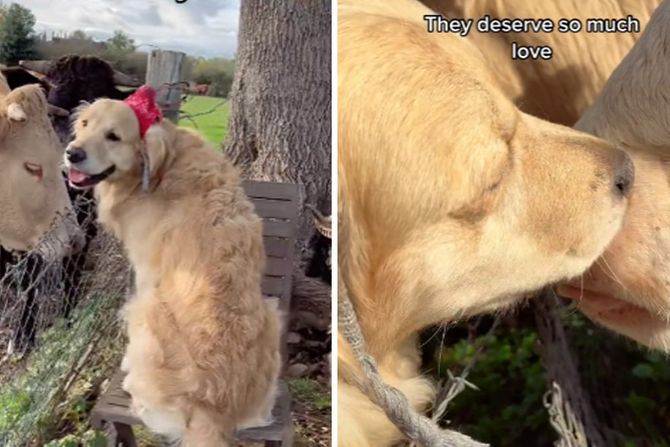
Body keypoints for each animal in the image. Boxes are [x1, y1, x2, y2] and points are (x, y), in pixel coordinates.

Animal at [63, 87, 280, 447]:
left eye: (113, 136)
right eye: (84, 124)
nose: (72, 153)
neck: (162, 167)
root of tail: (214, 411)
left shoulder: (146, 272)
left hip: (144, 307)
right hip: (272, 311)